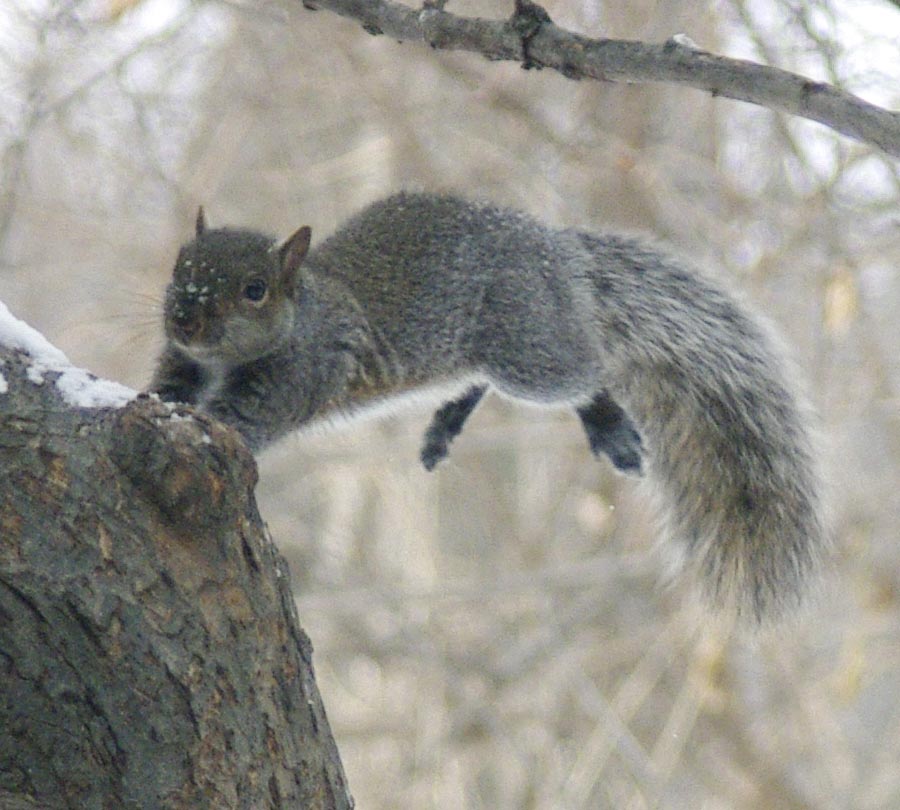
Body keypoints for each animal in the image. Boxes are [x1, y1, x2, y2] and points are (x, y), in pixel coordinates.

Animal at [150, 191, 825, 622]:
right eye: (180, 265)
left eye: (254, 290)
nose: (184, 317)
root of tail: (557, 252)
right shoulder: (181, 361)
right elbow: (168, 388)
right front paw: (149, 402)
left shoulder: (298, 374)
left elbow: (245, 419)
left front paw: (210, 423)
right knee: (478, 382)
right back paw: (447, 424)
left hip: (527, 352)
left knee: (592, 370)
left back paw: (609, 424)